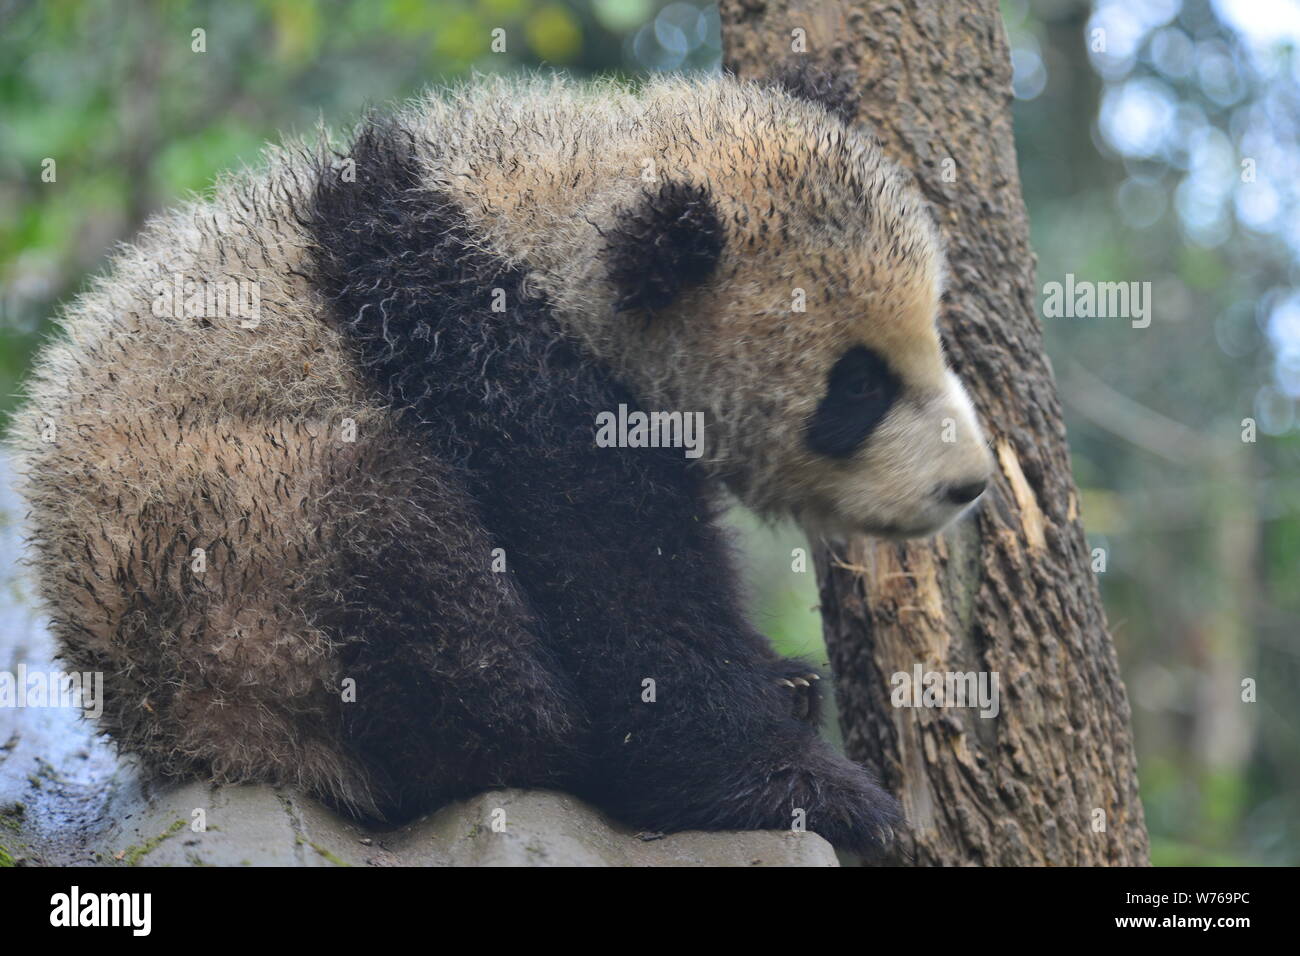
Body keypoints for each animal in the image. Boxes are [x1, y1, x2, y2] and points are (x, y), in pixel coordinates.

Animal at [11, 66, 993, 857]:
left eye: (935, 334)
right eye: (857, 387)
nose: (969, 484)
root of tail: (164, 727)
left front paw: (784, 685)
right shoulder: (475, 343)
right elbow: (612, 576)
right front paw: (810, 785)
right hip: (238, 555)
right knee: (408, 569)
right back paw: (545, 737)